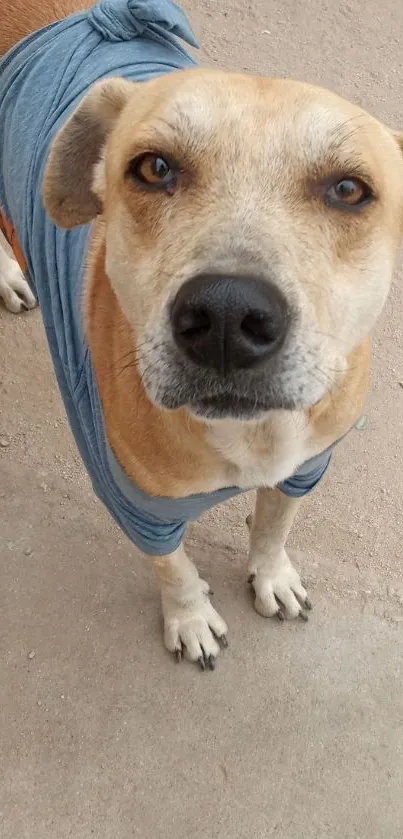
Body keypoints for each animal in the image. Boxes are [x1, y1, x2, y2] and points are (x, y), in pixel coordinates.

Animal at [0, 0, 403, 668]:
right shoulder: (138, 508)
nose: (227, 318)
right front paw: (189, 619)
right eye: (154, 167)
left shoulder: (307, 466)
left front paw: (272, 576)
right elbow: (174, 569)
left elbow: (275, 524)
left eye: (349, 189)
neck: (256, 436)